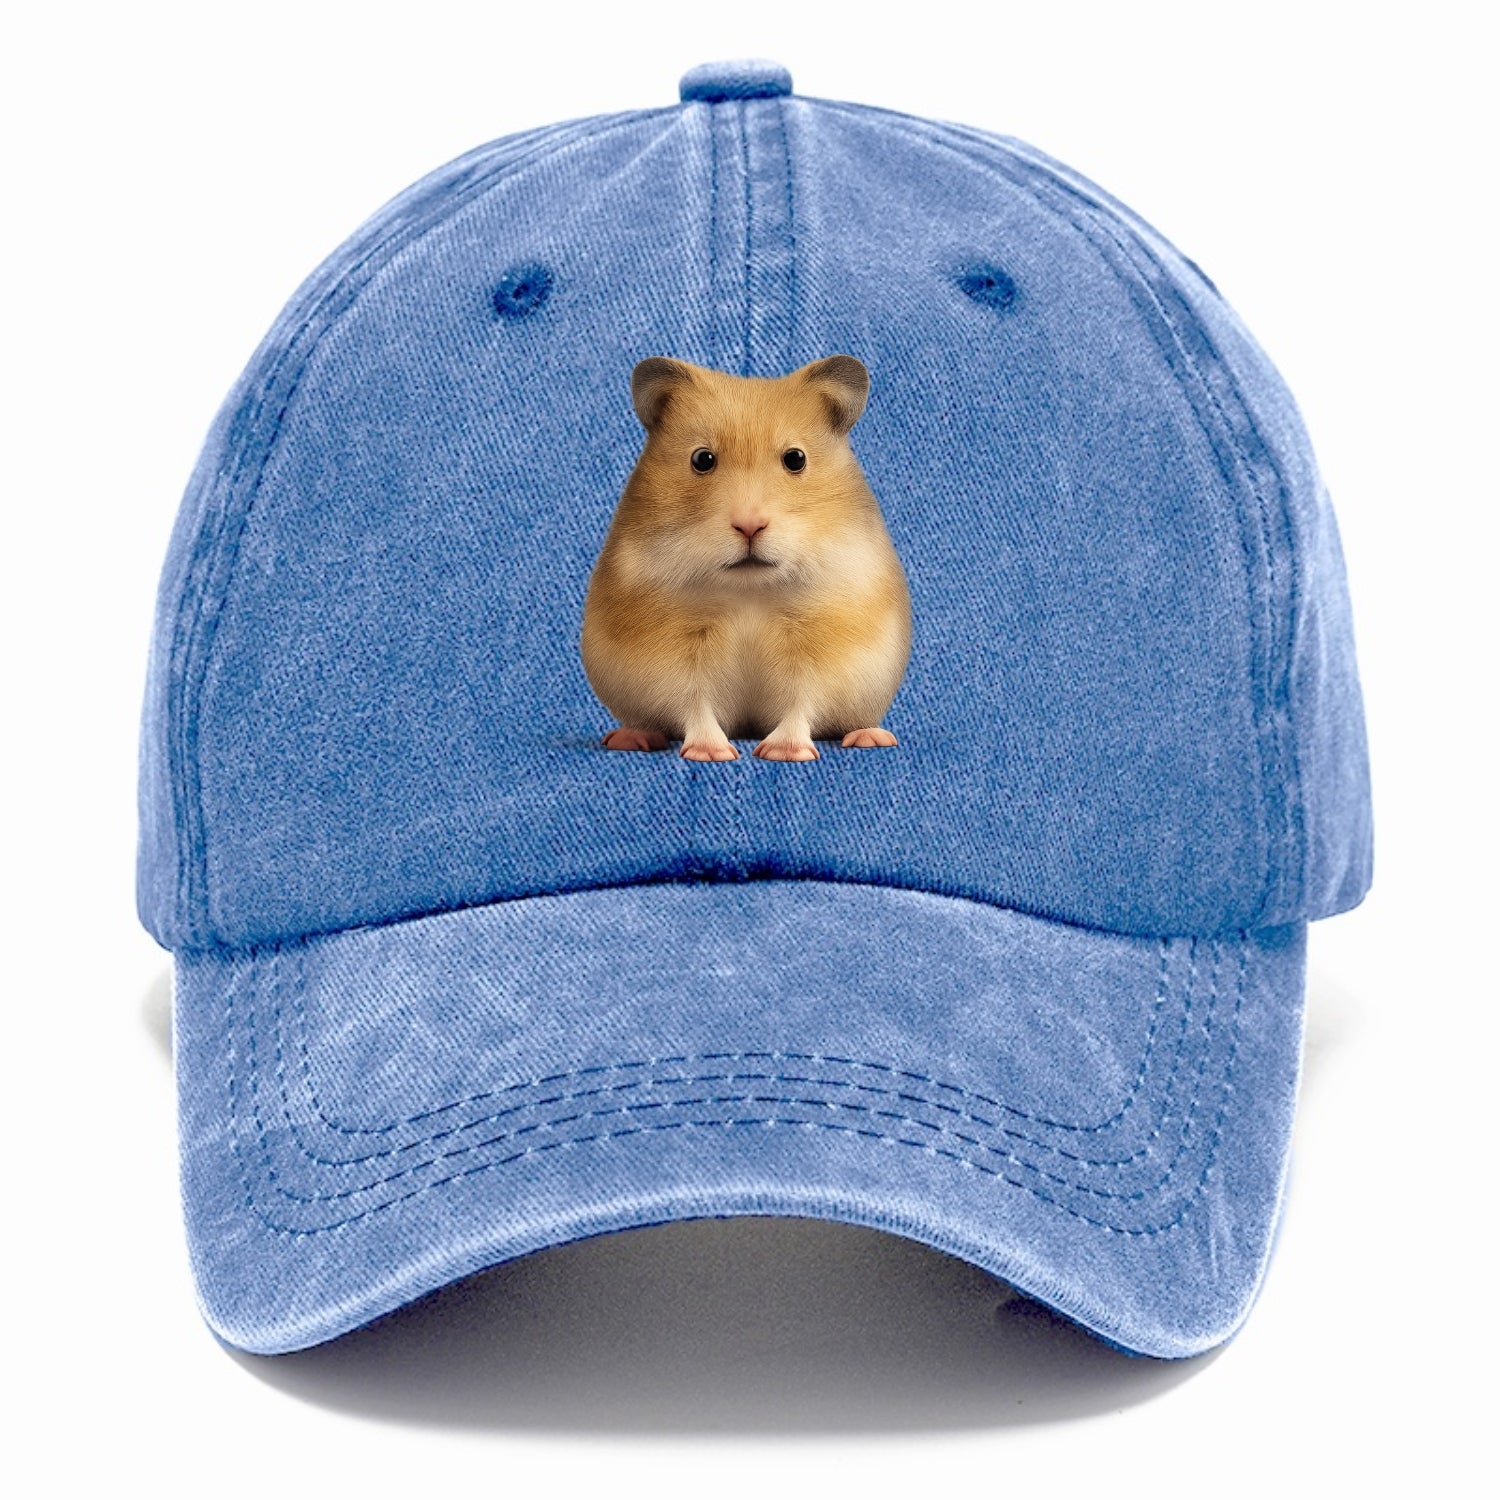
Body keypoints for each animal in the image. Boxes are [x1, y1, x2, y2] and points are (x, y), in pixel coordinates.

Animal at [581, 355, 912, 762]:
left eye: (795, 459)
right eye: (702, 459)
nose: (749, 525)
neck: (749, 591)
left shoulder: (818, 653)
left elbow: (801, 702)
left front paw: (783, 752)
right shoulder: (674, 659)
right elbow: (694, 702)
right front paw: (711, 753)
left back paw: (872, 737)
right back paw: (630, 738)